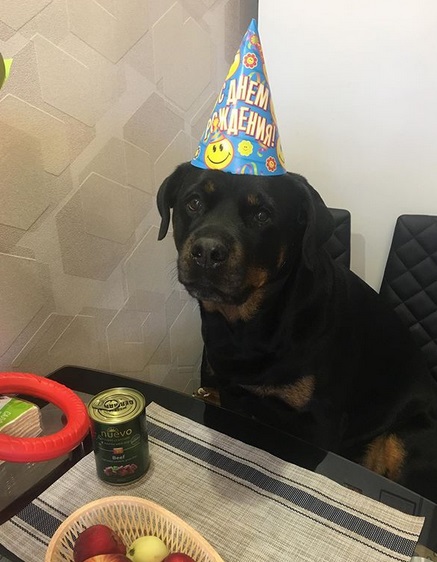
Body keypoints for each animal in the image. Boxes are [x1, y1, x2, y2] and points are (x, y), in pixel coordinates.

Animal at [158, 161, 436, 498]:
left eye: (262, 214)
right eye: (193, 202)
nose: (207, 251)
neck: (249, 328)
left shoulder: (321, 421)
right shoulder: (232, 394)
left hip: (406, 438)